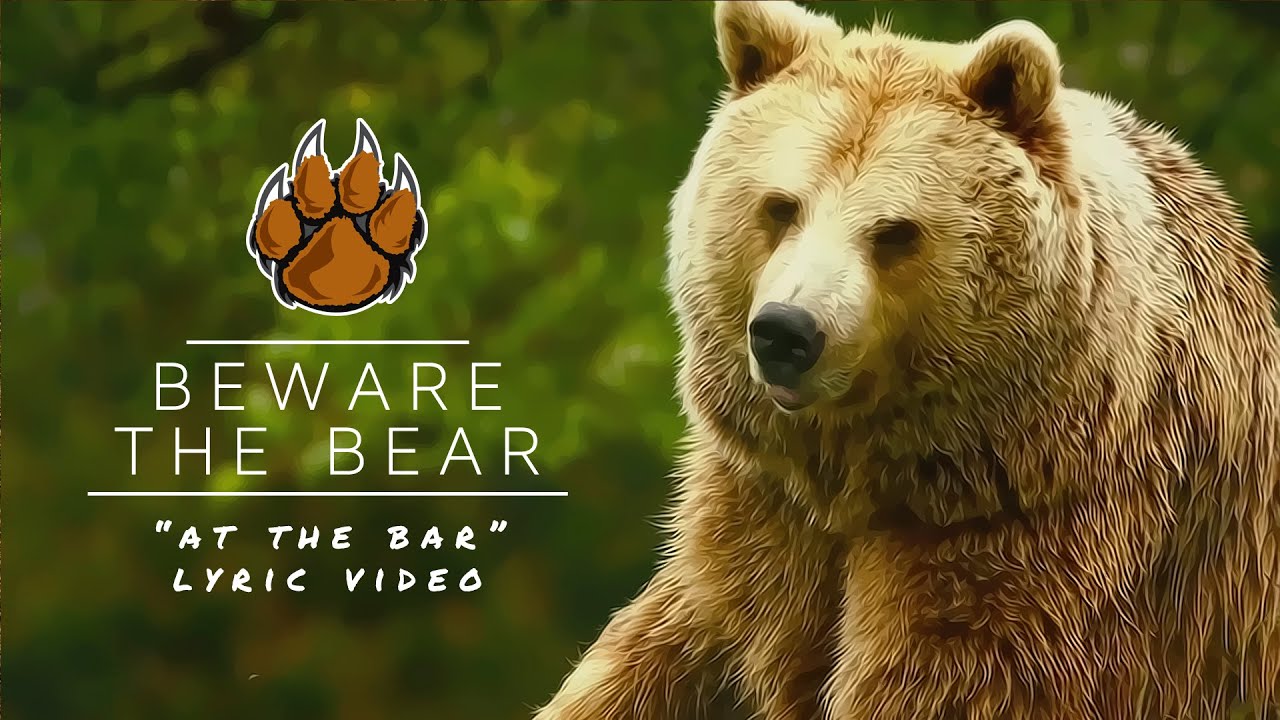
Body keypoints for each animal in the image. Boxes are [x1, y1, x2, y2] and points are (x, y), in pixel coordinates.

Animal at [535, 2, 1280, 718]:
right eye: (781, 205)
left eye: (895, 231)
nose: (786, 333)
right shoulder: (755, 526)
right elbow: (662, 654)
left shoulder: (1039, 559)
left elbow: (940, 682)